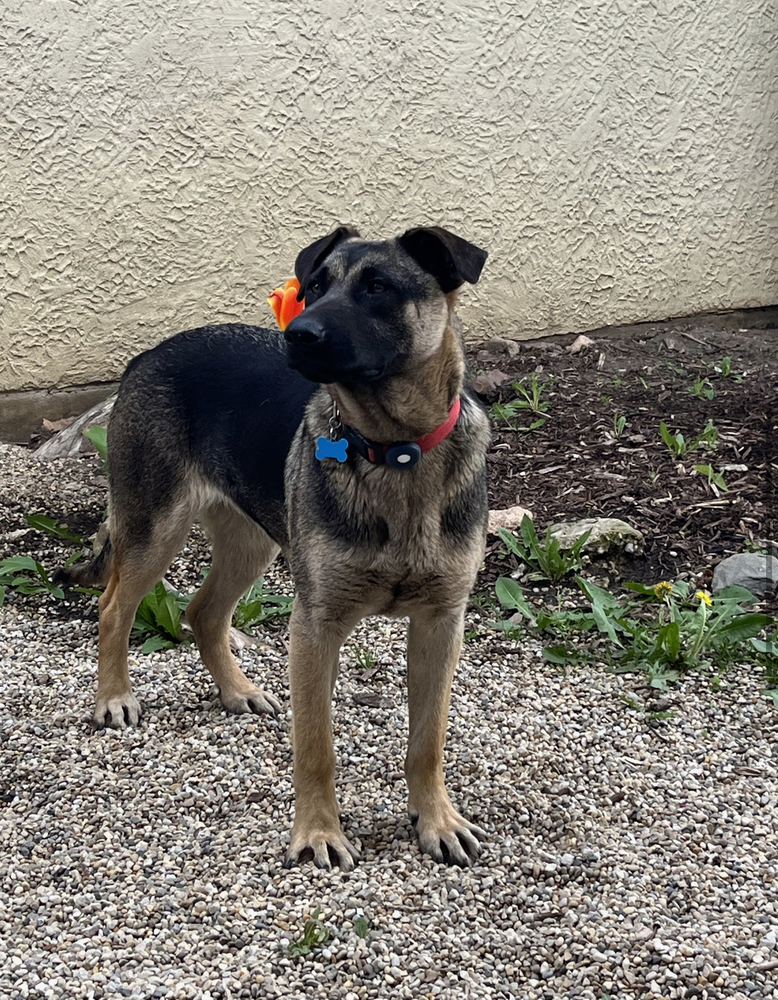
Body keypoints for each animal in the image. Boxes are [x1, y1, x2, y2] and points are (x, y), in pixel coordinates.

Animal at [68, 225, 492, 868]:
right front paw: (317, 833)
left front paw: (435, 819)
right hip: (155, 527)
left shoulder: (441, 622)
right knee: (114, 606)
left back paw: (237, 691)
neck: (394, 451)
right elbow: (315, 743)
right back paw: (114, 697)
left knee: (203, 612)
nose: (298, 333)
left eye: (378, 287)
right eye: (313, 285)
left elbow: (428, 739)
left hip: (251, 543)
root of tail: (150, 354)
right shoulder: (315, 626)